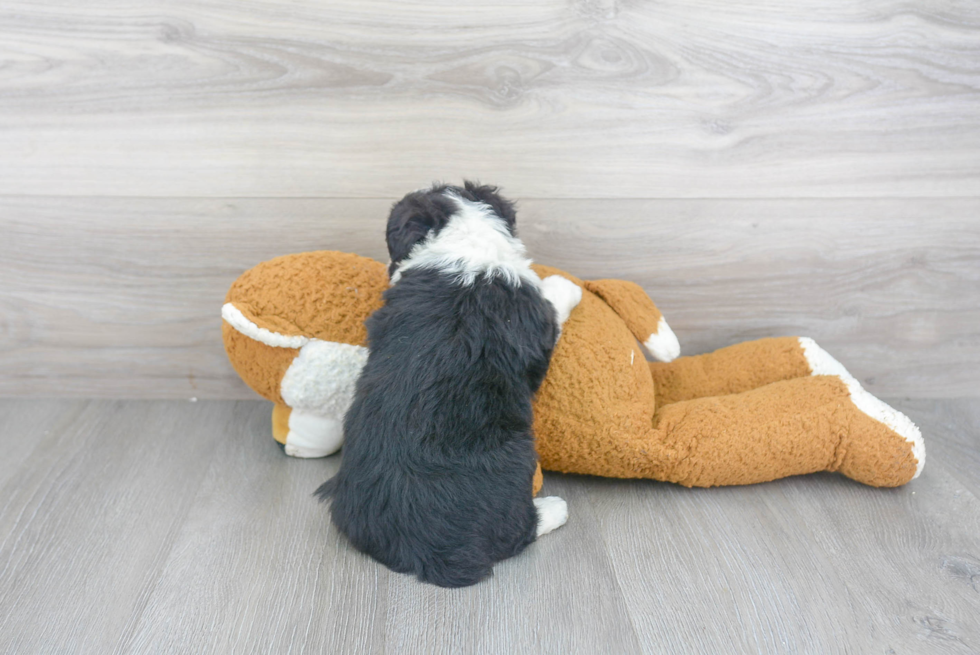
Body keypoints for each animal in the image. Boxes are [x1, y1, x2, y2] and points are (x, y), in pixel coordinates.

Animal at [318, 181, 580, 588]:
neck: (465, 241)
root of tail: (424, 553)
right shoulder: (538, 321)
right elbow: (553, 299)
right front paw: (566, 284)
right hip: (517, 462)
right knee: (518, 531)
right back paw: (553, 509)